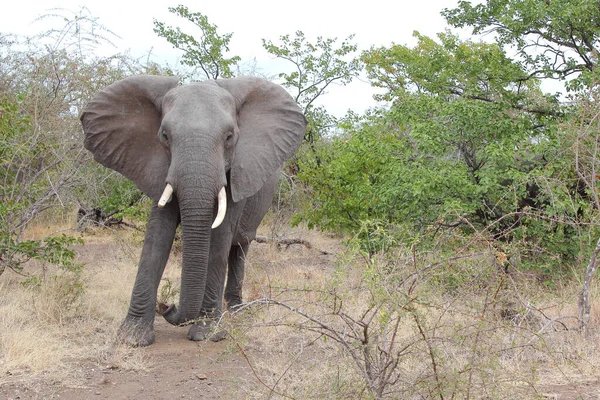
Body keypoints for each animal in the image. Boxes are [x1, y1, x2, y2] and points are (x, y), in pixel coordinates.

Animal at [82, 76, 308, 346]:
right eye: (165, 136)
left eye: (229, 137)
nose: (166, 306)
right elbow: (157, 236)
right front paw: (133, 338)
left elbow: (219, 238)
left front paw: (207, 334)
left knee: (240, 247)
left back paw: (236, 311)